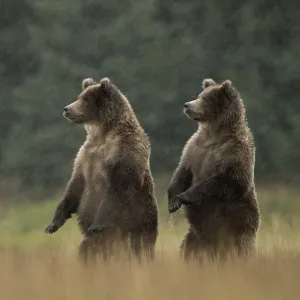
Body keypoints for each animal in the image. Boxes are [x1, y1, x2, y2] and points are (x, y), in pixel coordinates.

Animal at [44, 77, 159, 262]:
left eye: (86, 99)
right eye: (80, 96)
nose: (67, 109)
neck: (102, 134)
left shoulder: (124, 152)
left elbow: (119, 187)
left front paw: (97, 225)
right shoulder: (85, 156)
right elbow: (75, 186)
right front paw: (53, 224)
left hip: (139, 225)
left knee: (139, 249)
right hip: (94, 242)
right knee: (87, 251)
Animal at [169, 78, 260, 262]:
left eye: (205, 99)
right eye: (199, 95)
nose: (187, 105)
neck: (213, 136)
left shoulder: (235, 152)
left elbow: (228, 180)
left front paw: (185, 196)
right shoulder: (194, 149)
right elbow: (182, 172)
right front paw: (173, 201)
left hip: (239, 227)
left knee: (242, 249)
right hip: (194, 237)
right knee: (188, 249)